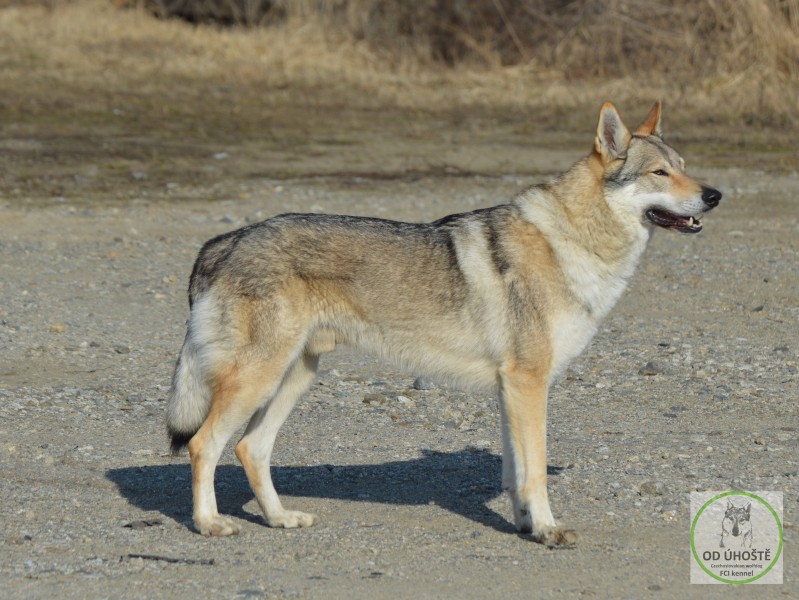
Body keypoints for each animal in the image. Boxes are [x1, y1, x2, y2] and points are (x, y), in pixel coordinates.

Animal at [166, 101, 721, 544]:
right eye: (659, 174)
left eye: (685, 168)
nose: (715, 195)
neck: (570, 241)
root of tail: (227, 240)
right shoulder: (528, 382)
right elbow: (536, 471)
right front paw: (547, 530)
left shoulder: (511, 388)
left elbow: (514, 472)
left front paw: (525, 525)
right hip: (257, 381)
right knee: (202, 445)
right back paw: (209, 524)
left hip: (292, 378)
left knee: (249, 448)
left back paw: (280, 518)